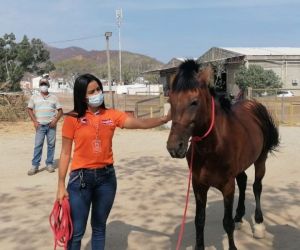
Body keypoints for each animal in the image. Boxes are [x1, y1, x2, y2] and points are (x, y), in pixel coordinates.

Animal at [166, 59, 278, 249]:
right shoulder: (198, 186)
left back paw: (258, 225)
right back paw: (239, 217)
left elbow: (227, 223)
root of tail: (254, 105)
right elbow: (199, 221)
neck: (213, 147)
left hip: (261, 159)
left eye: (194, 102)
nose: (174, 147)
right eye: (171, 102)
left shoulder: (227, 186)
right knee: (243, 181)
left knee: (256, 186)